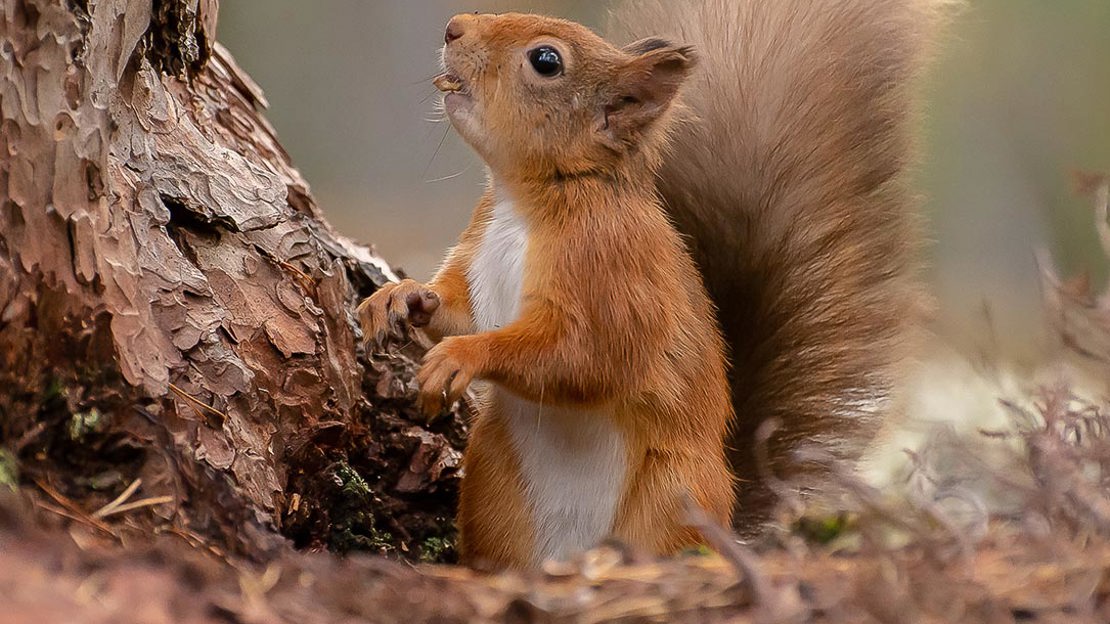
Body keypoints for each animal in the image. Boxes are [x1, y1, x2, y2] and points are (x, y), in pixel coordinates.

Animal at [358, 0, 950, 568]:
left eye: (546, 61)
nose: (453, 28)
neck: (528, 203)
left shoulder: (614, 272)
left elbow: (587, 356)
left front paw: (462, 355)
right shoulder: (478, 255)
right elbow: (457, 308)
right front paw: (399, 296)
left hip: (674, 491)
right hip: (494, 481)